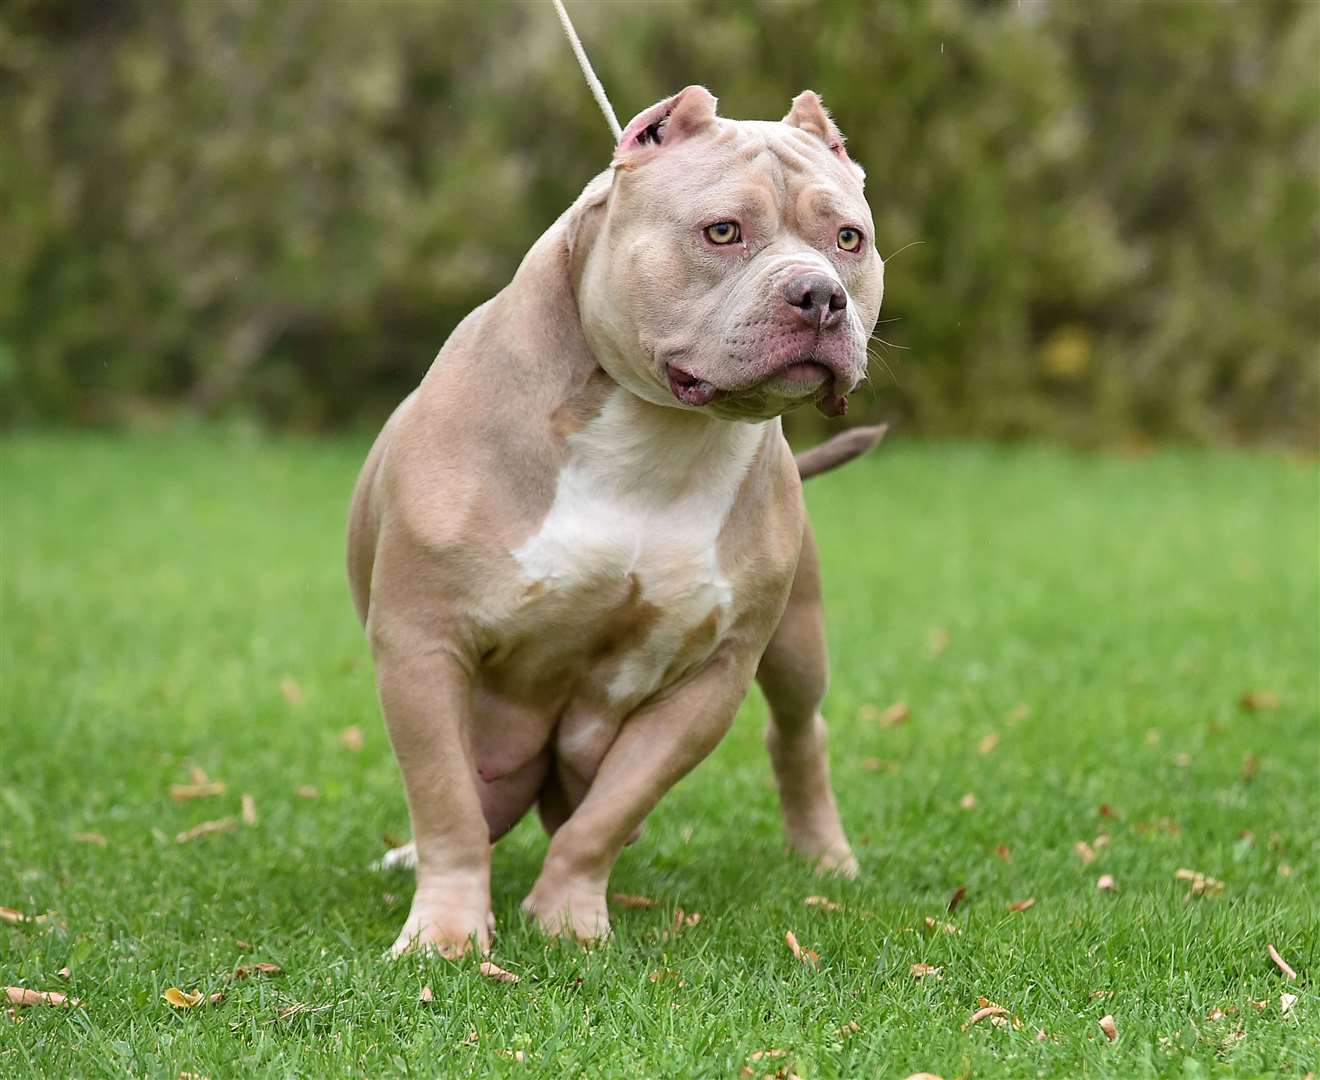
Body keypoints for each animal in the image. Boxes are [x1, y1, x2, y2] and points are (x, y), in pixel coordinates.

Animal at [351, 88, 887, 955]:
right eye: (722, 231)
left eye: (848, 239)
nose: (820, 295)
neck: (654, 433)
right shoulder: (422, 646)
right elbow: (445, 802)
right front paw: (447, 934)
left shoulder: (710, 678)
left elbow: (610, 812)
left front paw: (567, 918)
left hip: (797, 640)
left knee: (799, 732)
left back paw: (825, 858)